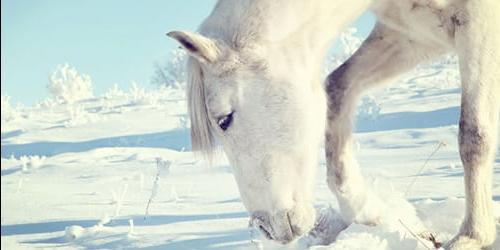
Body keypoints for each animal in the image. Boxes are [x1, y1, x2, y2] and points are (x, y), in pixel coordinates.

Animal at [169, 0, 500, 248]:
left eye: (224, 119)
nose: (266, 228)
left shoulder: (479, 22)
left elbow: (474, 134)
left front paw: (473, 236)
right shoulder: (412, 35)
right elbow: (337, 88)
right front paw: (367, 211)